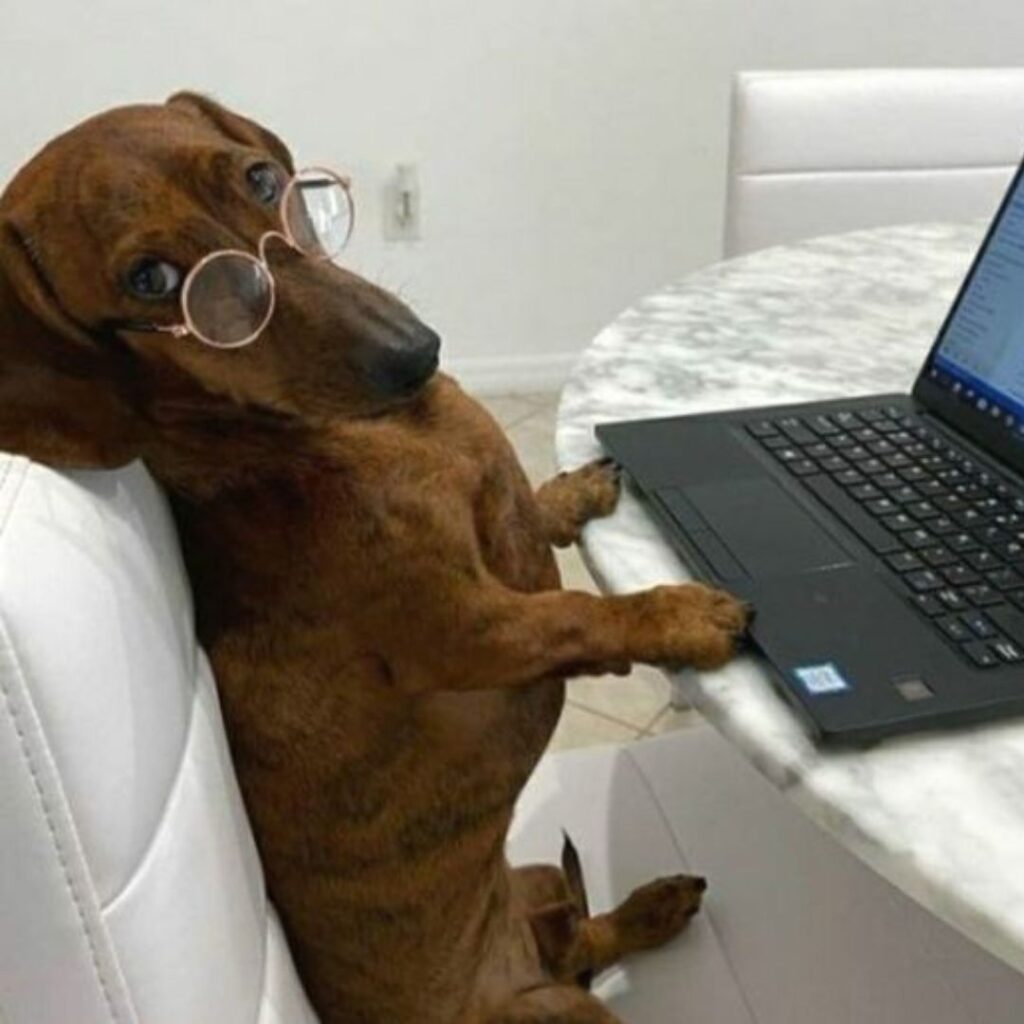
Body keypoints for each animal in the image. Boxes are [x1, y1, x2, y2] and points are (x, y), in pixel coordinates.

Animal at [0, 92, 749, 1019]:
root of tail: (526, 961)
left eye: (263, 179)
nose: (415, 355)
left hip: (536, 875)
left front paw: (568, 492)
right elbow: (577, 611)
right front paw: (679, 614)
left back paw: (651, 908)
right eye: (153, 281)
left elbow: (534, 515)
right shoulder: (468, 631)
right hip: (570, 1006)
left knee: (585, 933)